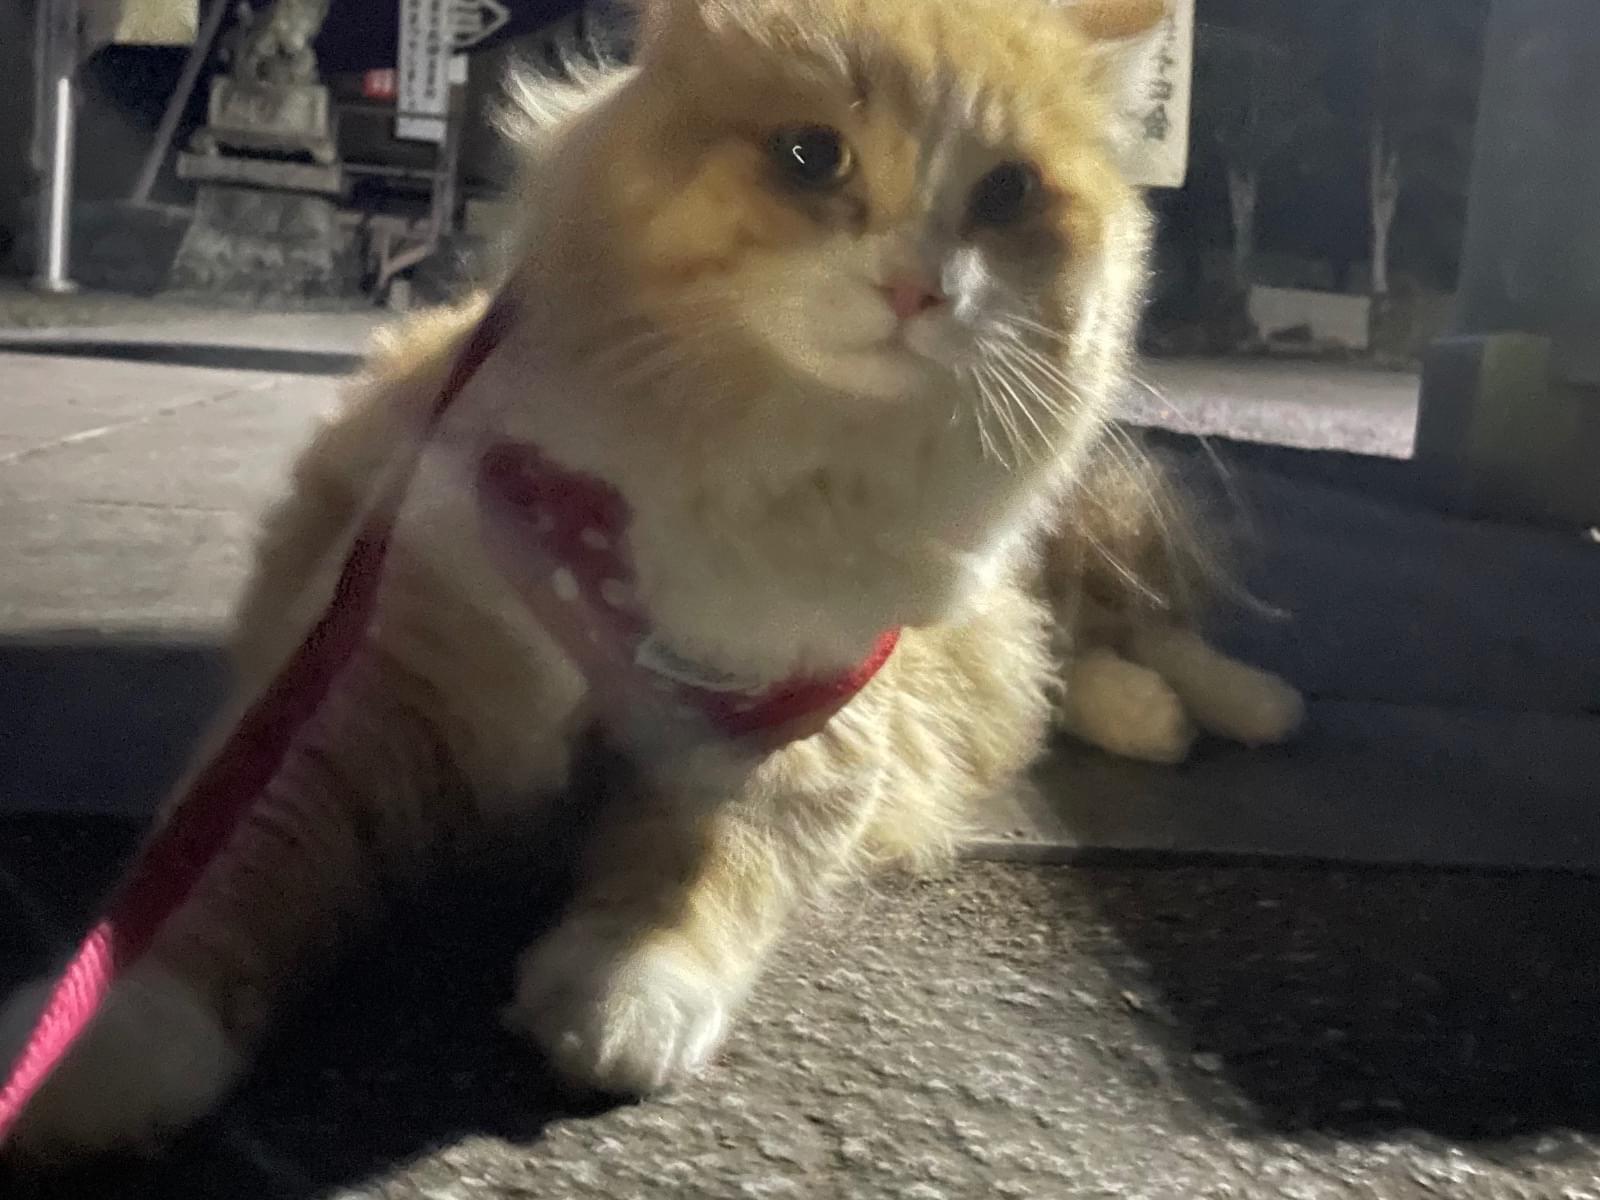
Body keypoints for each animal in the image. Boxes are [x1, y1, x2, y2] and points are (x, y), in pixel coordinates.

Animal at [1, 0, 1300, 1159]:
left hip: (1052, 568)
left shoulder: (791, 729)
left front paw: (625, 992)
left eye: (1008, 196)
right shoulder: (376, 688)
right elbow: (228, 879)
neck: (756, 459)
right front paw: (98, 1049)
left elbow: (697, 874)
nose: (919, 288)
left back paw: (1227, 710)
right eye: (810, 156)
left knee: (1131, 634)